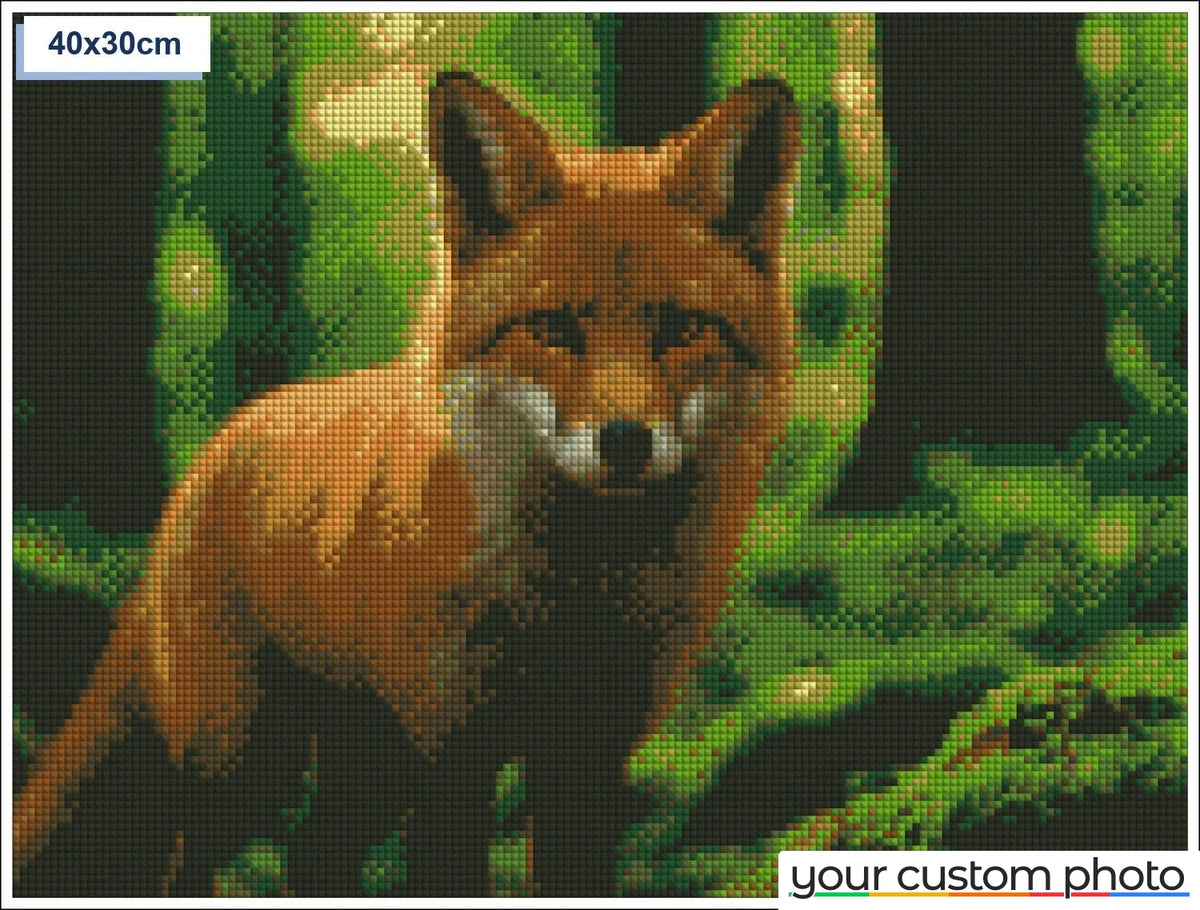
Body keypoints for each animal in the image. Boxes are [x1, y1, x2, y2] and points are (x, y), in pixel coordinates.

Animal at [14, 72, 801, 895]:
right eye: (552, 328)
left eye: (682, 330)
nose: (623, 442)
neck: (573, 590)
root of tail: (219, 444)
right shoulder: (451, 749)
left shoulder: (586, 757)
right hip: (242, 764)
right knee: (188, 864)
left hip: (364, 769)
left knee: (312, 852)